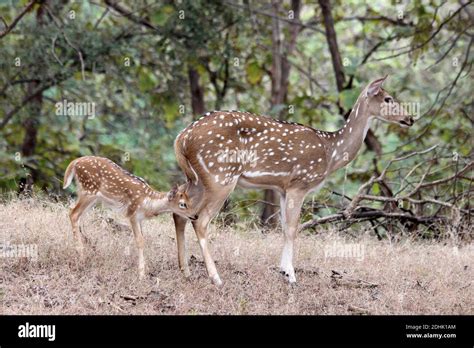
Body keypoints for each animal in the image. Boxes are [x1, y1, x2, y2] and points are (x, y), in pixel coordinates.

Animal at [63, 156, 196, 278]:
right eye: (182, 204)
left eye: (190, 201)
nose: (195, 215)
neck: (148, 202)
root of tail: (75, 162)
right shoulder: (132, 213)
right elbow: (140, 241)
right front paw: (141, 274)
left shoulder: (140, 219)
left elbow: (143, 238)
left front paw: (146, 269)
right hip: (89, 190)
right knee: (73, 213)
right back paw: (81, 256)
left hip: (92, 196)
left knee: (77, 215)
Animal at [172, 75, 412, 282]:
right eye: (388, 98)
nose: (410, 118)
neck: (331, 152)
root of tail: (182, 137)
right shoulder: (300, 182)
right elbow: (292, 228)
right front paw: (290, 275)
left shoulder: (282, 188)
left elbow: (284, 226)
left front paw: (283, 270)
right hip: (220, 175)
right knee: (200, 220)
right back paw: (215, 277)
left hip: (198, 178)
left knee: (180, 212)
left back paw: (185, 270)